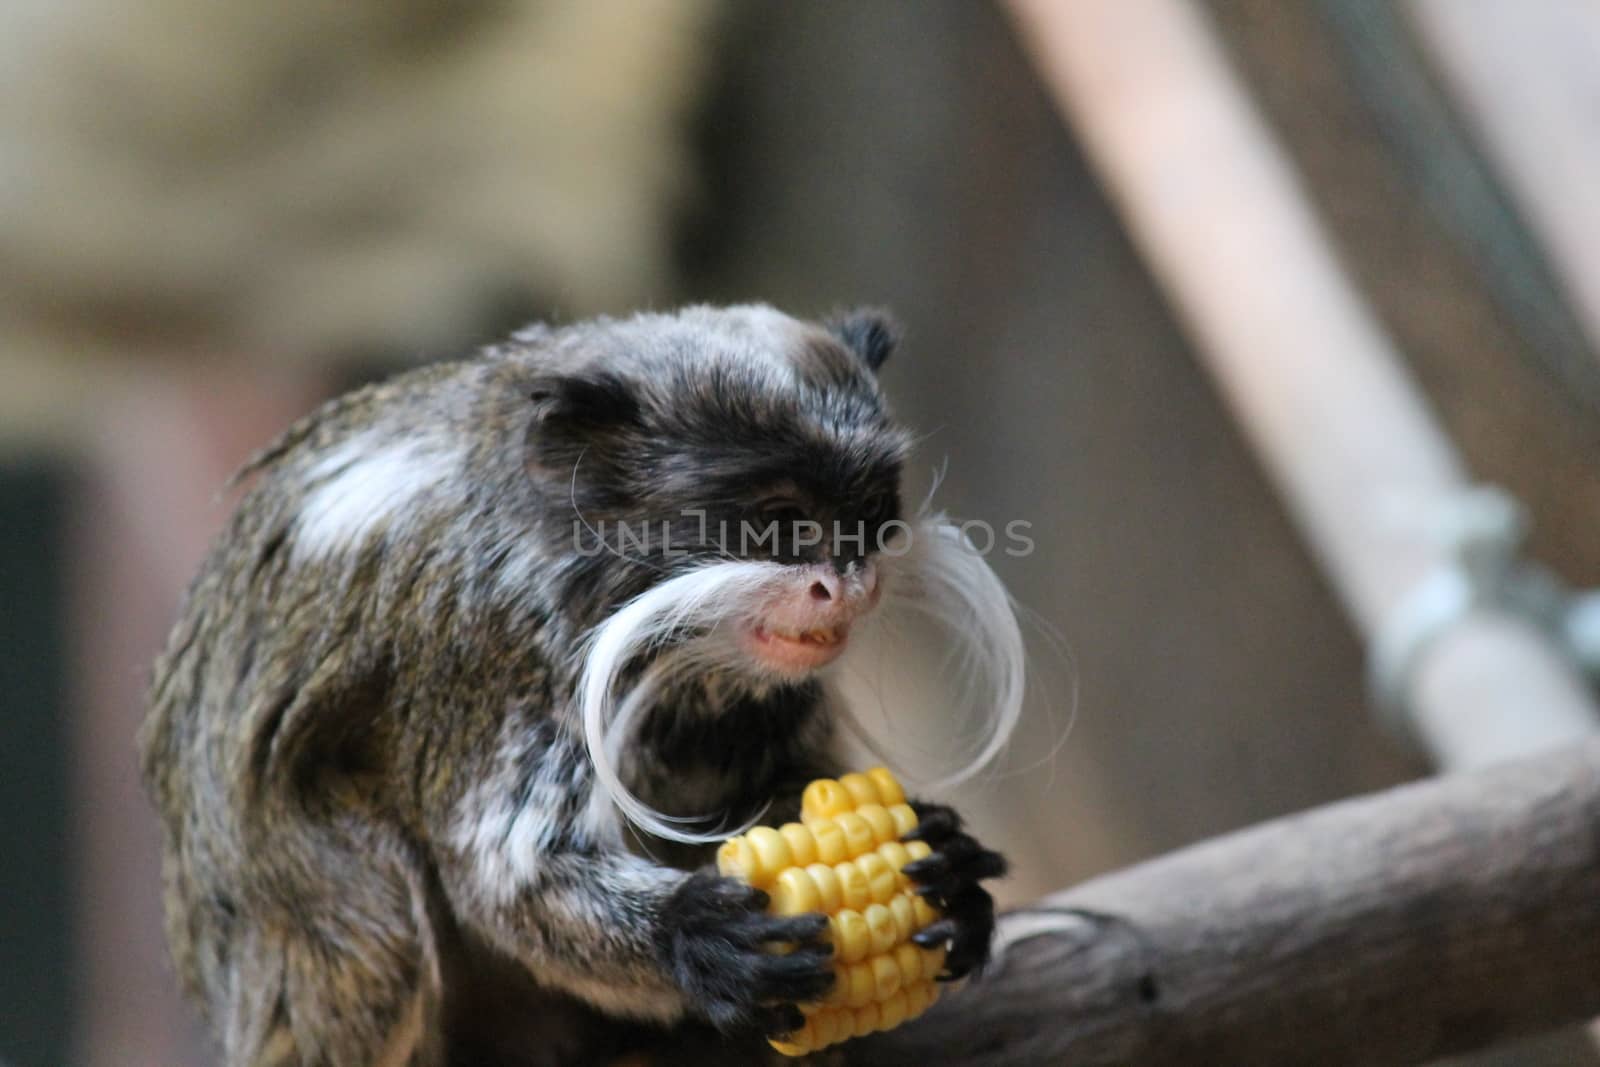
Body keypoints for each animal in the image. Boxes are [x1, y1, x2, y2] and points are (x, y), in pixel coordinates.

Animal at [147, 303, 1024, 1062]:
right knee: (371, 922)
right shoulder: (501, 638)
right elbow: (512, 876)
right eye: (782, 522)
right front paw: (692, 939)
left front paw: (947, 865)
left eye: (867, 518)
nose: (844, 586)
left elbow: (780, 787)